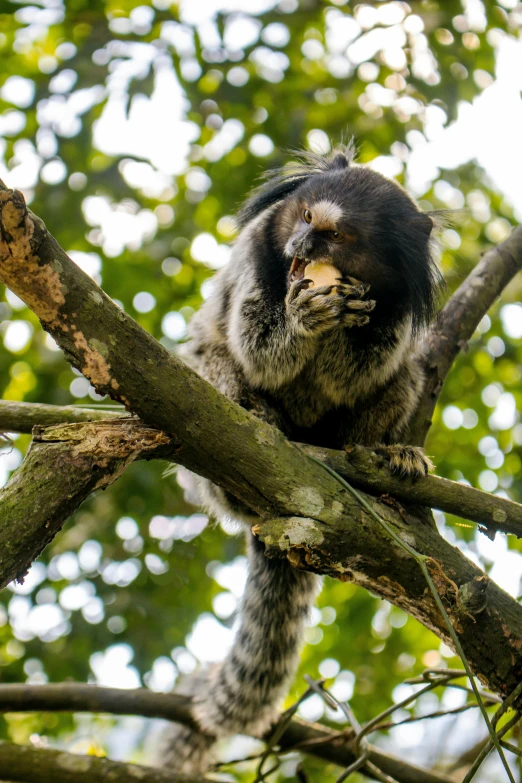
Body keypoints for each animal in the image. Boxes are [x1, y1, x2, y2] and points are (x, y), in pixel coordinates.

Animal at [157, 141, 438, 772]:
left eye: (336, 236)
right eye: (305, 217)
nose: (302, 248)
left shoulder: (394, 308)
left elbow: (364, 366)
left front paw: (346, 320)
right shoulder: (256, 255)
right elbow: (255, 348)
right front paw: (305, 318)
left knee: (406, 373)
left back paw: (382, 458)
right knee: (209, 357)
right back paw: (255, 424)